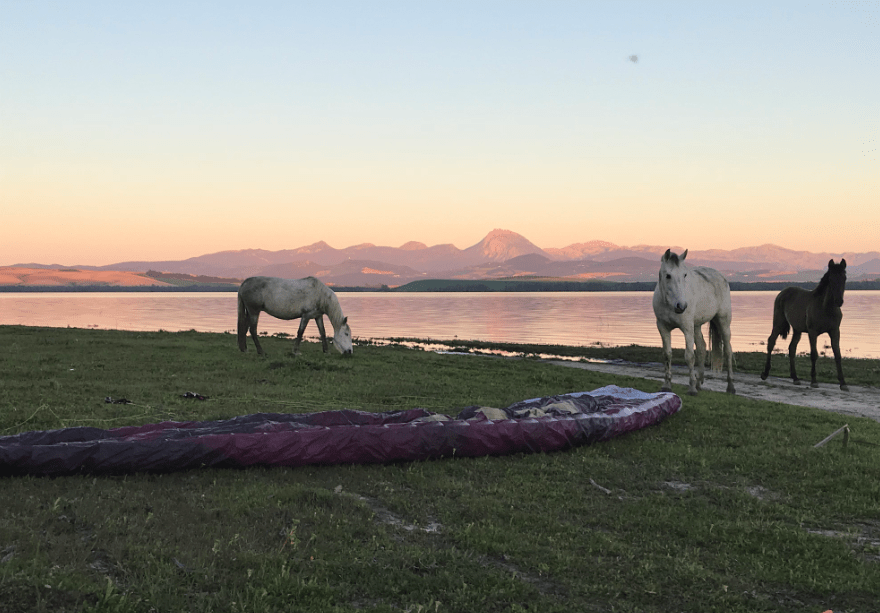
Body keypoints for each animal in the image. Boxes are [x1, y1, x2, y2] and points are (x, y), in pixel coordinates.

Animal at [653, 249, 736, 396]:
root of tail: (721, 276)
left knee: (728, 351)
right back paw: (699, 383)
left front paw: (691, 388)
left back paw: (730, 386)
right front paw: (667, 385)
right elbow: (667, 354)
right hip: (696, 326)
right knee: (702, 348)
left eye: (684, 275)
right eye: (668, 275)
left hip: (723, 321)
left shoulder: (687, 328)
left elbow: (689, 356)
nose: (681, 306)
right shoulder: (662, 327)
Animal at [759, 259, 848, 391]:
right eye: (831, 279)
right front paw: (814, 381)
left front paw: (843, 383)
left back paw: (795, 378)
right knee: (771, 342)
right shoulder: (812, 332)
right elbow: (814, 354)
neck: (825, 308)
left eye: (844, 278)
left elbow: (837, 354)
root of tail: (782, 292)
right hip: (778, 324)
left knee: (792, 348)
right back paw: (765, 373)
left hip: (797, 330)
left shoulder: (835, 331)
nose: (839, 301)